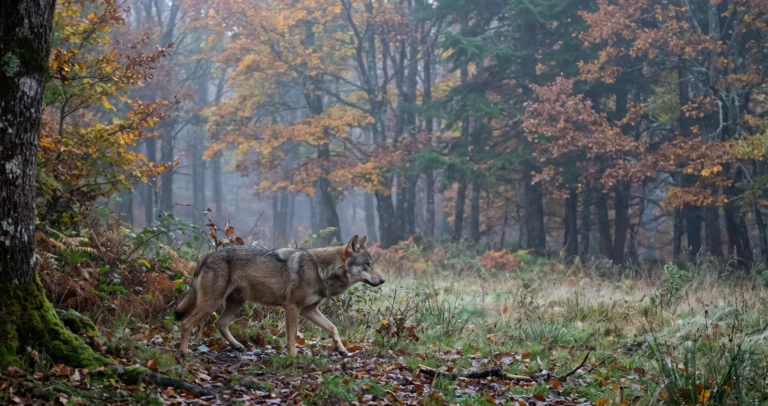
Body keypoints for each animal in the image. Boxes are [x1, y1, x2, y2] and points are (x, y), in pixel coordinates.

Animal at [174, 235, 384, 356]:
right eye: (367, 264)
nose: (382, 280)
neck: (319, 269)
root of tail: (206, 256)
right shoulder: (292, 307)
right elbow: (291, 336)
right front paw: (293, 357)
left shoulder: (309, 310)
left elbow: (332, 327)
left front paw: (342, 349)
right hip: (211, 304)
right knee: (185, 324)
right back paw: (184, 353)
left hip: (236, 302)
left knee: (220, 323)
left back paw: (237, 346)